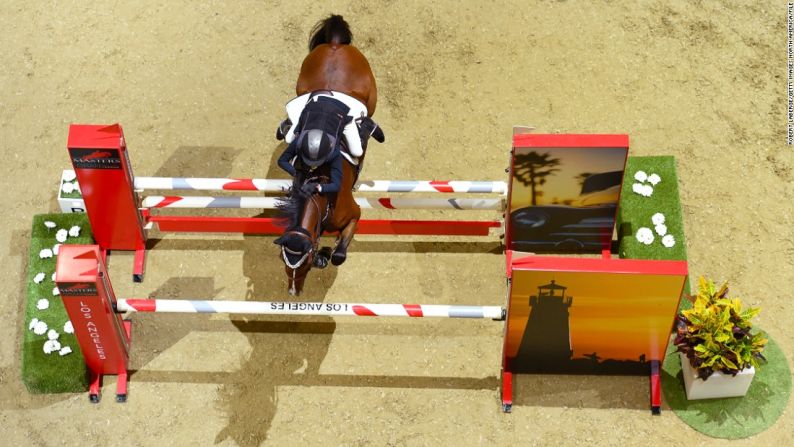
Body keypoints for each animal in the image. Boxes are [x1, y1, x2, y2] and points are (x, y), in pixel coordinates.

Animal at [276, 14, 378, 296]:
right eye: (284, 262)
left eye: (305, 262)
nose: (292, 292)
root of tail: (334, 44)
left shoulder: (354, 215)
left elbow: (339, 255)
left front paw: (325, 255)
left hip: (371, 97)